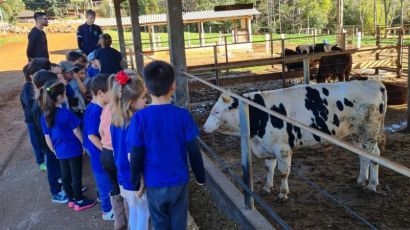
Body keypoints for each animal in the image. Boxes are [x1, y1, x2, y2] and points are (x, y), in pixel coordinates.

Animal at [205, 80, 388, 200]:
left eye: (216, 112)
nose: (204, 128)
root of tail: (374, 82)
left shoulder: (283, 149)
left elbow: (283, 172)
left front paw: (282, 193)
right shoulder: (268, 147)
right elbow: (269, 168)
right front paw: (266, 188)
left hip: (369, 133)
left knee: (375, 156)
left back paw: (372, 185)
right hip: (358, 134)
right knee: (363, 156)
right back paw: (361, 181)